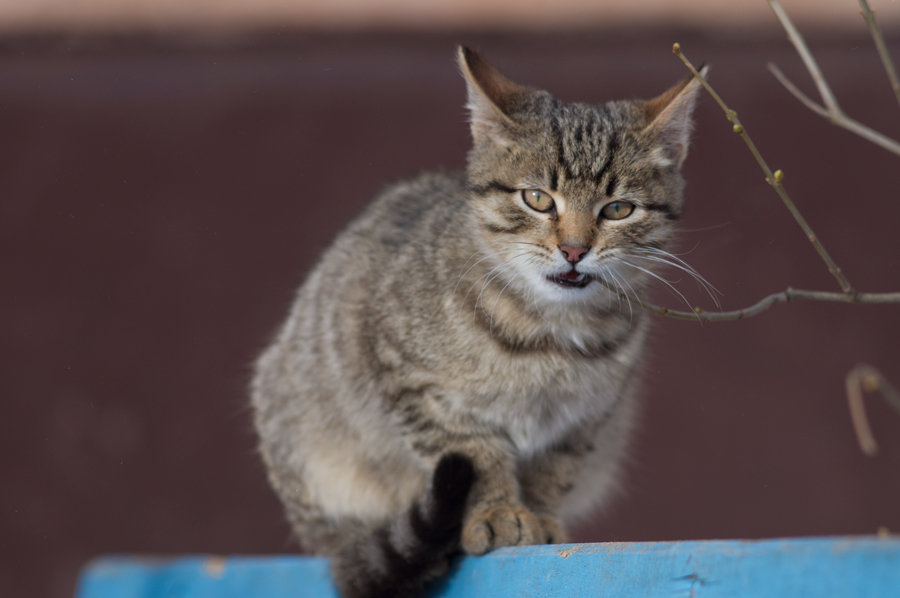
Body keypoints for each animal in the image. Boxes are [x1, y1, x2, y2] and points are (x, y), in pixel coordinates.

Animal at [251, 44, 704, 596]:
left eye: (618, 209)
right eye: (537, 198)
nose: (575, 250)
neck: (551, 330)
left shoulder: (584, 420)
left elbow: (554, 471)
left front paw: (540, 516)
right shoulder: (412, 380)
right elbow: (474, 452)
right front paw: (497, 512)